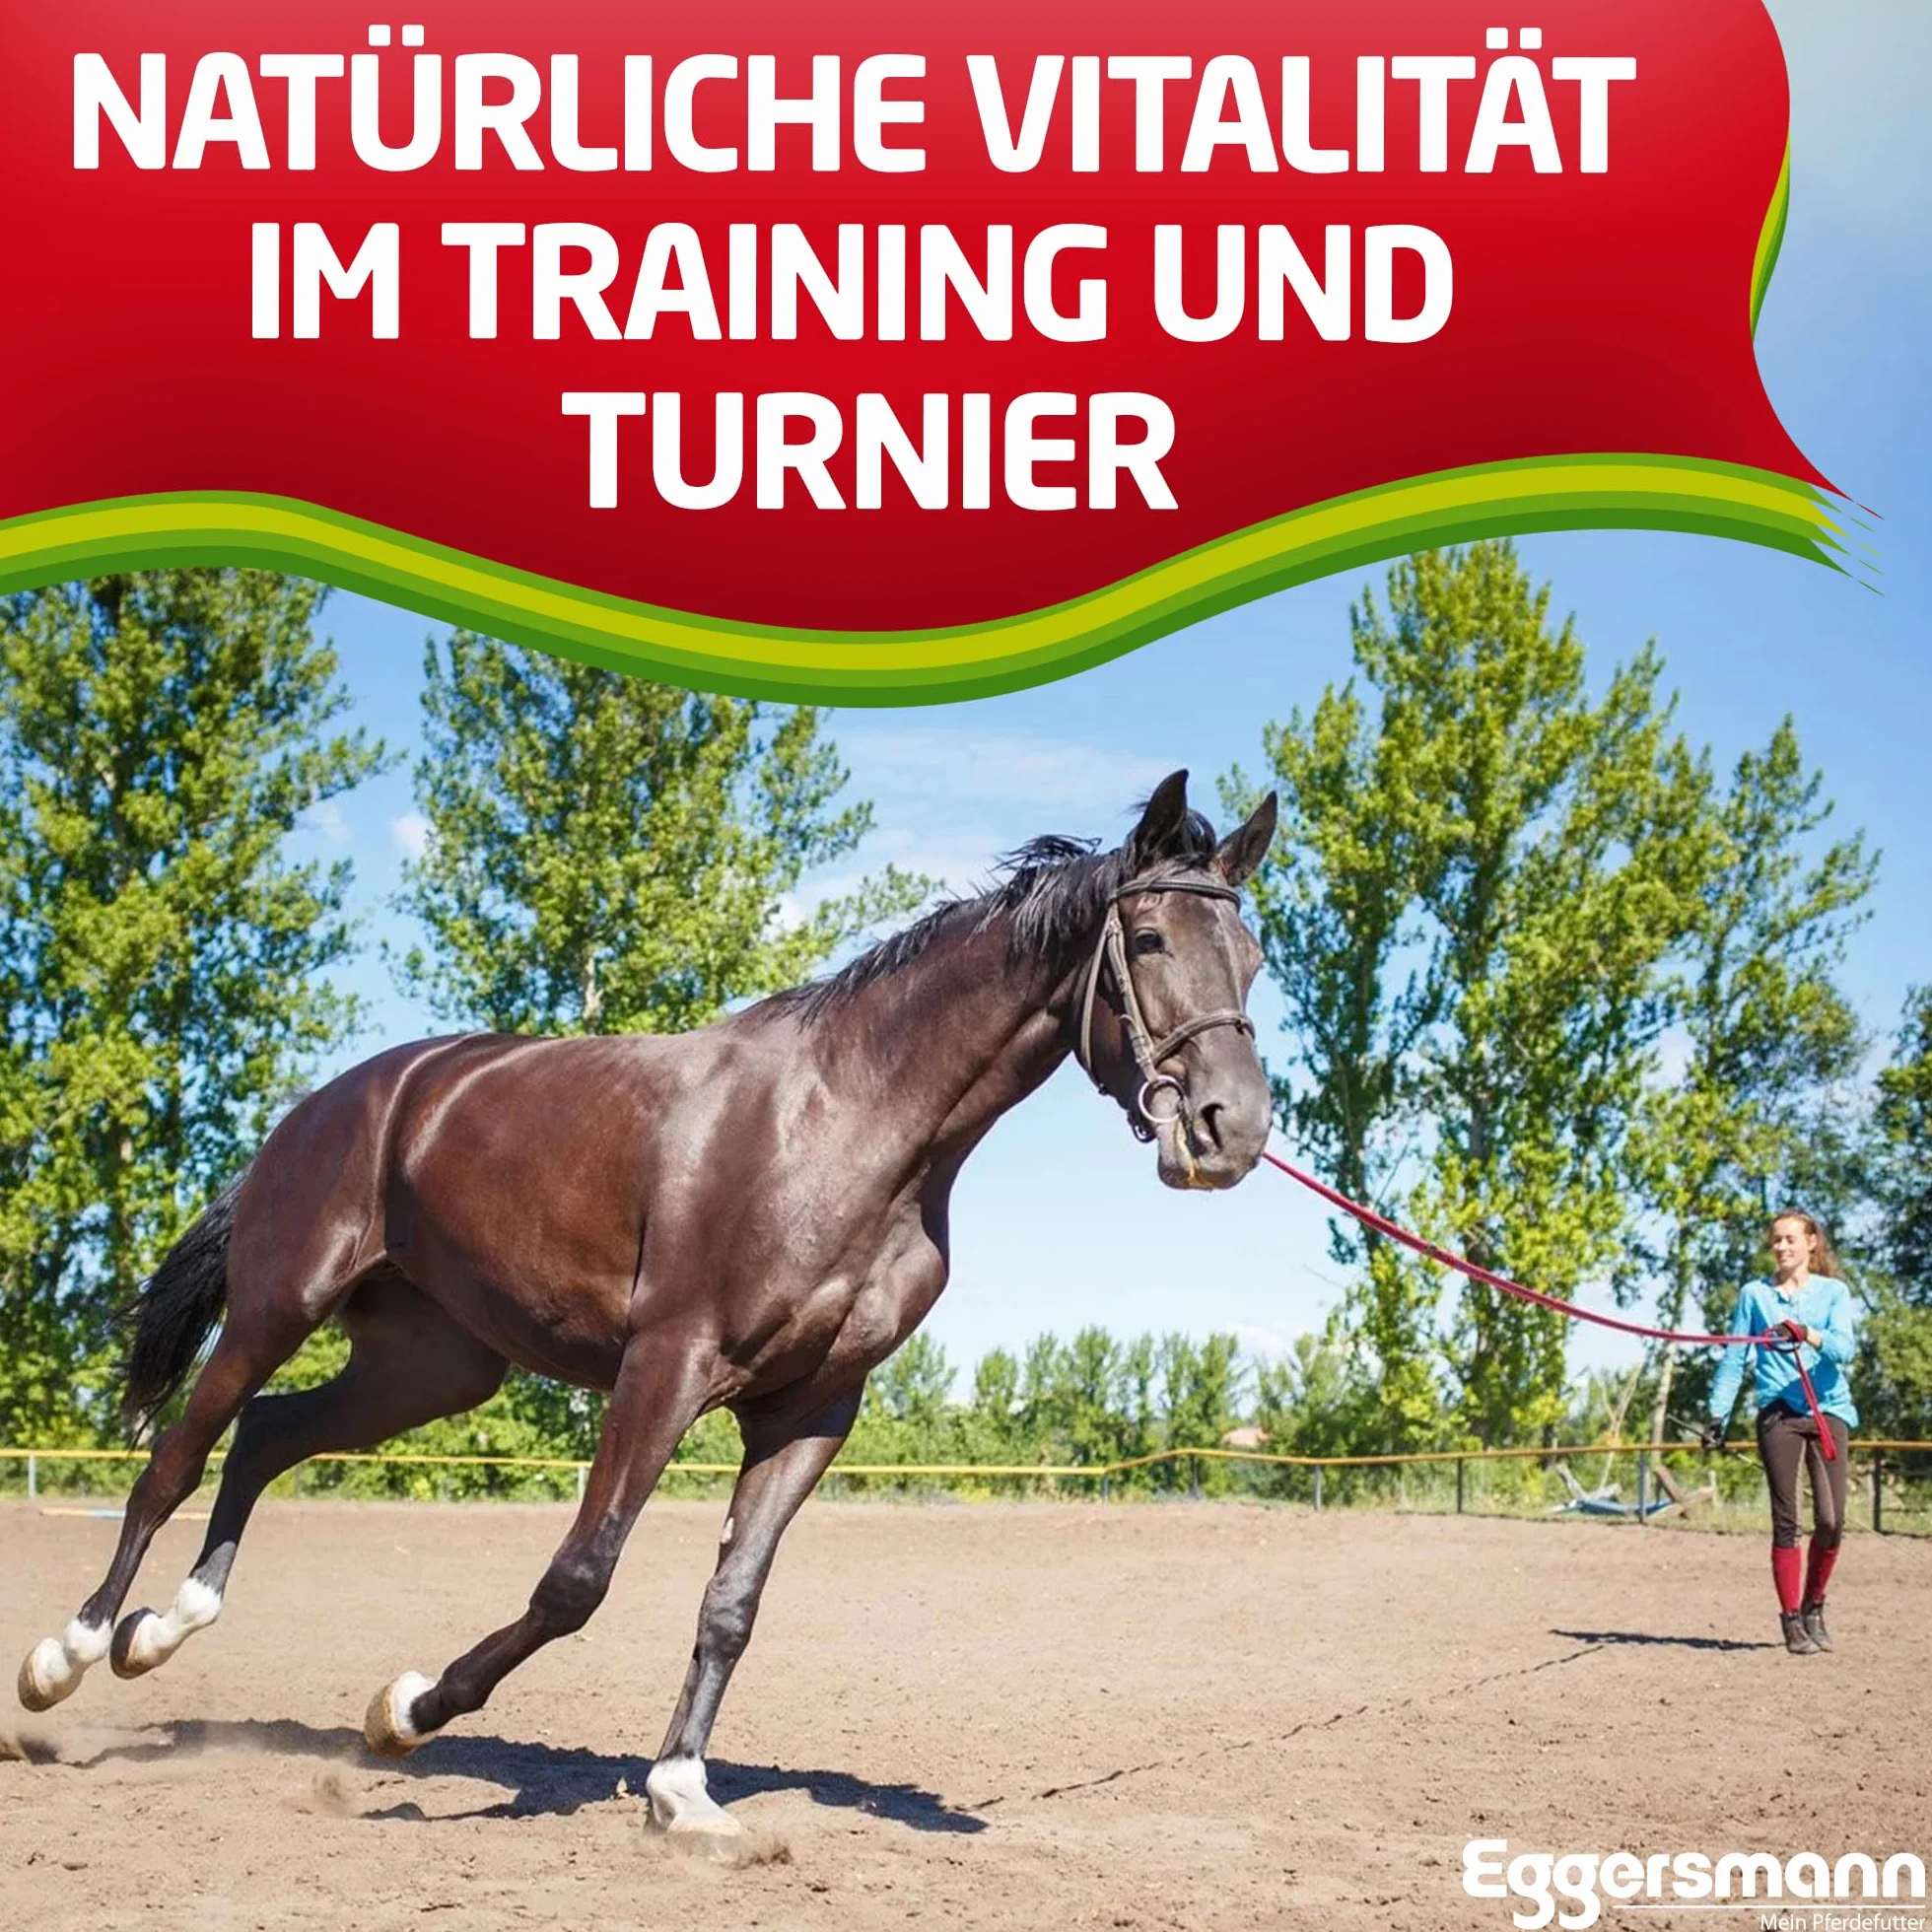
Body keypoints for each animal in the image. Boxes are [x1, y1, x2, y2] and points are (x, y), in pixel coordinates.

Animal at [16, 768, 1278, 1838]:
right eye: (1150, 938)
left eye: (1255, 956)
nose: (1232, 1128)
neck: (848, 1121)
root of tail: (335, 1100)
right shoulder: (666, 1364)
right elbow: (578, 1579)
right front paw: (407, 1709)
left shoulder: (811, 1408)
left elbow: (732, 1601)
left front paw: (681, 1792)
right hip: (277, 1307)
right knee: (176, 1457)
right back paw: (69, 1657)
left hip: (430, 1366)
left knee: (267, 1438)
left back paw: (159, 1634)